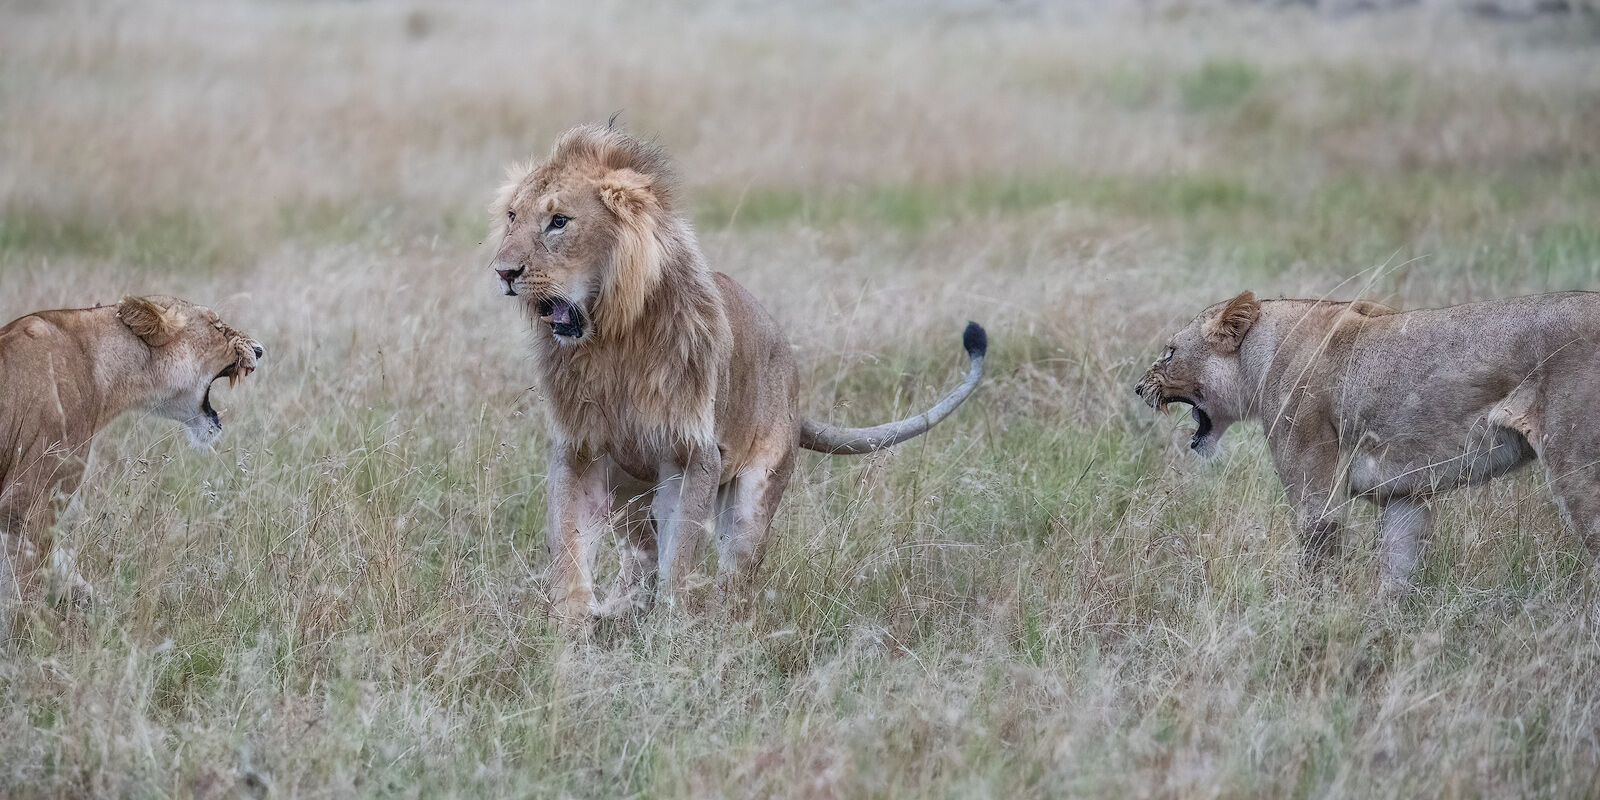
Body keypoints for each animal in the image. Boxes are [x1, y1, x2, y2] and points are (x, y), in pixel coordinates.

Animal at [488, 124, 988, 619]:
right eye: (512, 216)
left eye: (559, 221)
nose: (503, 272)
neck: (611, 341)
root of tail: (795, 389)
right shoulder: (580, 448)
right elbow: (568, 549)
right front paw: (569, 627)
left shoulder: (692, 454)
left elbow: (679, 555)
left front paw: (670, 628)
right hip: (629, 494)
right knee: (641, 554)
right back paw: (622, 607)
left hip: (753, 498)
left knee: (735, 580)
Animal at [1135, 290, 1600, 593]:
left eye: (1170, 353)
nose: (1139, 388)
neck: (1260, 359)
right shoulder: (1404, 493)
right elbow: (1397, 569)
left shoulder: (1316, 489)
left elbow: (1316, 562)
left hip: (1576, 467)